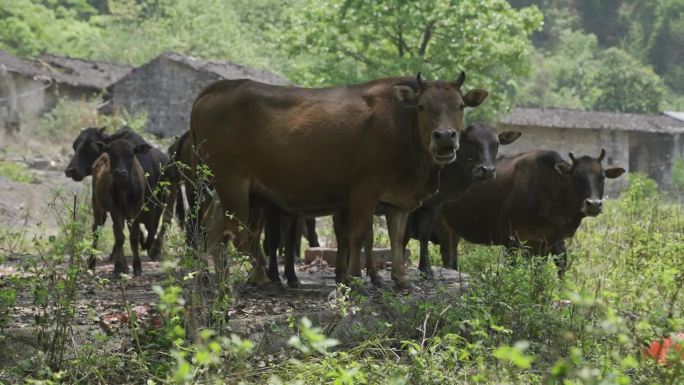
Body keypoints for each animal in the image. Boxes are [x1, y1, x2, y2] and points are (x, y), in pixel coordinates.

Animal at [192, 73, 488, 288]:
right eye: (422, 106)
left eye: (460, 106)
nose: (445, 136)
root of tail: (222, 87)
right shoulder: (365, 192)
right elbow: (358, 234)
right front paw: (355, 279)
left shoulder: (397, 200)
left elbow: (396, 237)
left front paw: (401, 280)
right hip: (233, 184)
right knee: (236, 232)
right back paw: (260, 277)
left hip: (230, 190)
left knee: (217, 229)